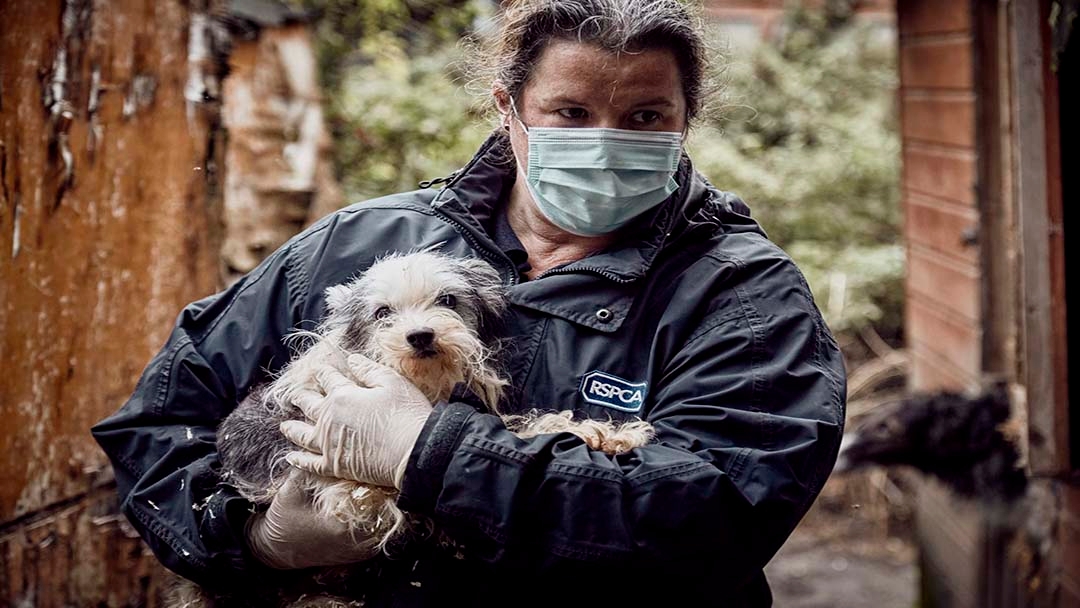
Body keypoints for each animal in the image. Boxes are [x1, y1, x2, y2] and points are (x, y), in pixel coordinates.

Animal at [172, 249, 652, 604]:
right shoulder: (351, 489)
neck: (419, 383)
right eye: (383, 312)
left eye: (447, 300)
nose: (420, 335)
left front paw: (606, 433)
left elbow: (511, 430)